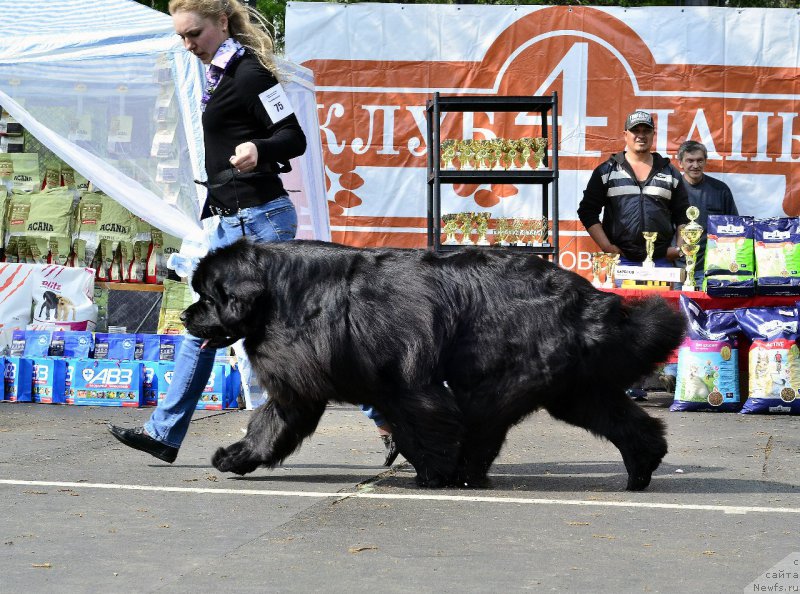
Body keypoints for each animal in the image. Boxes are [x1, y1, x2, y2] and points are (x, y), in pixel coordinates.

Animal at [184, 238, 684, 488]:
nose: (186, 316)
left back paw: (461, 476)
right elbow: (269, 425)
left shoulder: (402, 385)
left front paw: (432, 472)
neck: (283, 295)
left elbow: (421, 428)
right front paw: (236, 457)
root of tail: (589, 296)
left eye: (207, 296)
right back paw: (642, 467)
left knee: (481, 429)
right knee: (624, 421)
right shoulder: (304, 386)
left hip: (503, 384)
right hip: (575, 390)